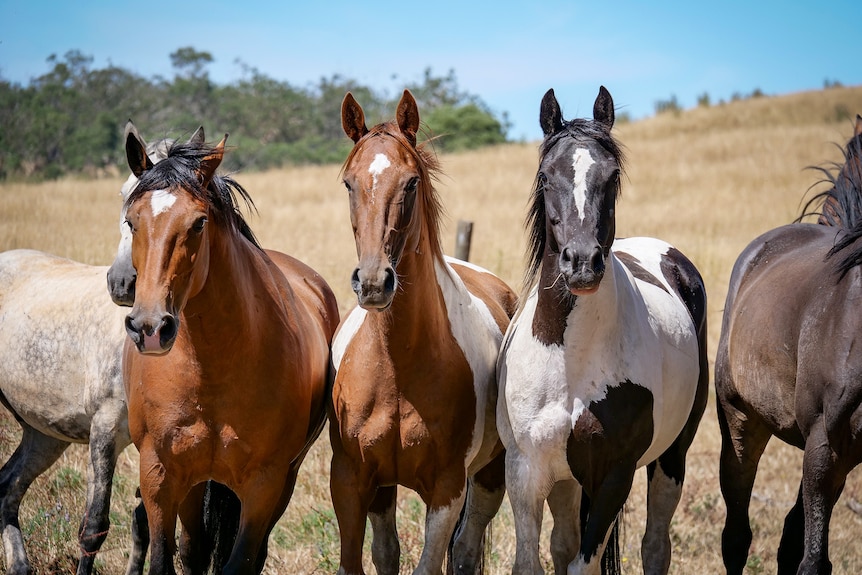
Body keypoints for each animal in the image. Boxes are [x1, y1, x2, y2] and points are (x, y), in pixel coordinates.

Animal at [0, 122, 179, 575]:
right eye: (124, 195)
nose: (123, 283)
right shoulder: (104, 431)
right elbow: (94, 526)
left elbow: (146, 523)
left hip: (43, 434)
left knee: (6, 488)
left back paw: (20, 566)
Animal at [121, 132, 338, 574]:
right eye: (132, 221)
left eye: (198, 223)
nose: (149, 327)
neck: (211, 365)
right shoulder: (158, 474)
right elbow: (166, 558)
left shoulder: (264, 483)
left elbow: (240, 562)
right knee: (194, 548)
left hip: (281, 482)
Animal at [329, 89, 518, 575]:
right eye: (348, 184)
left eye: (411, 183)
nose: (373, 282)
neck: (398, 367)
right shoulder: (352, 479)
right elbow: (363, 560)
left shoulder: (447, 488)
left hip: (489, 477)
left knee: (466, 551)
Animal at [496, 87, 709, 575]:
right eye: (545, 176)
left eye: (612, 176)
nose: (581, 262)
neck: (569, 358)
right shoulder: (526, 473)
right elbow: (535, 560)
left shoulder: (614, 475)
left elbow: (584, 563)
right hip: (567, 480)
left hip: (672, 456)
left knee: (655, 545)